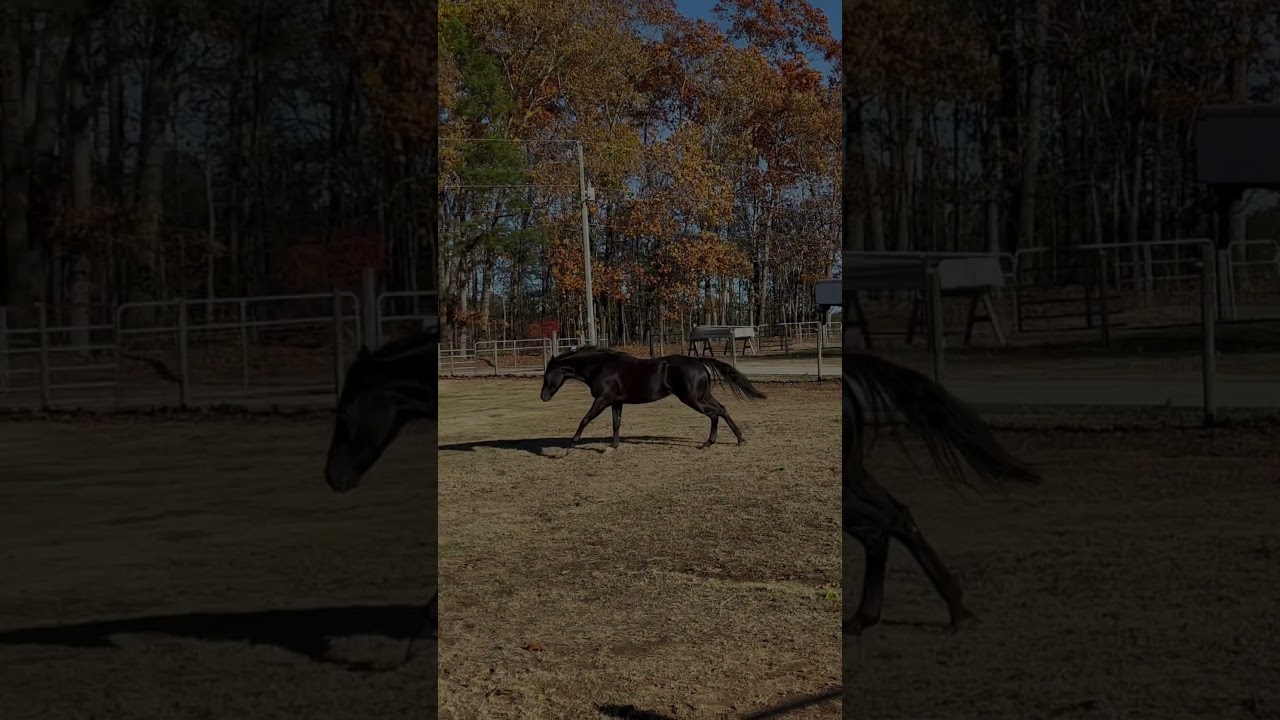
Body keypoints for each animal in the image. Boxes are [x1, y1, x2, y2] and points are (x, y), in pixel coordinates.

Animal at [539, 345, 767, 449]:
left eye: (546, 376)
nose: (543, 397)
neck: (601, 368)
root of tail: (699, 361)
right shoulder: (616, 402)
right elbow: (616, 423)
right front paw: (612, 447)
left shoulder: (603, 399)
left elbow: (585, 418)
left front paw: (572, 443)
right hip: (702, 396)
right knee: (722, 409)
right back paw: (737, 439)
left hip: (693, 399)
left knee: (715, 413)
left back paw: (711, 443)